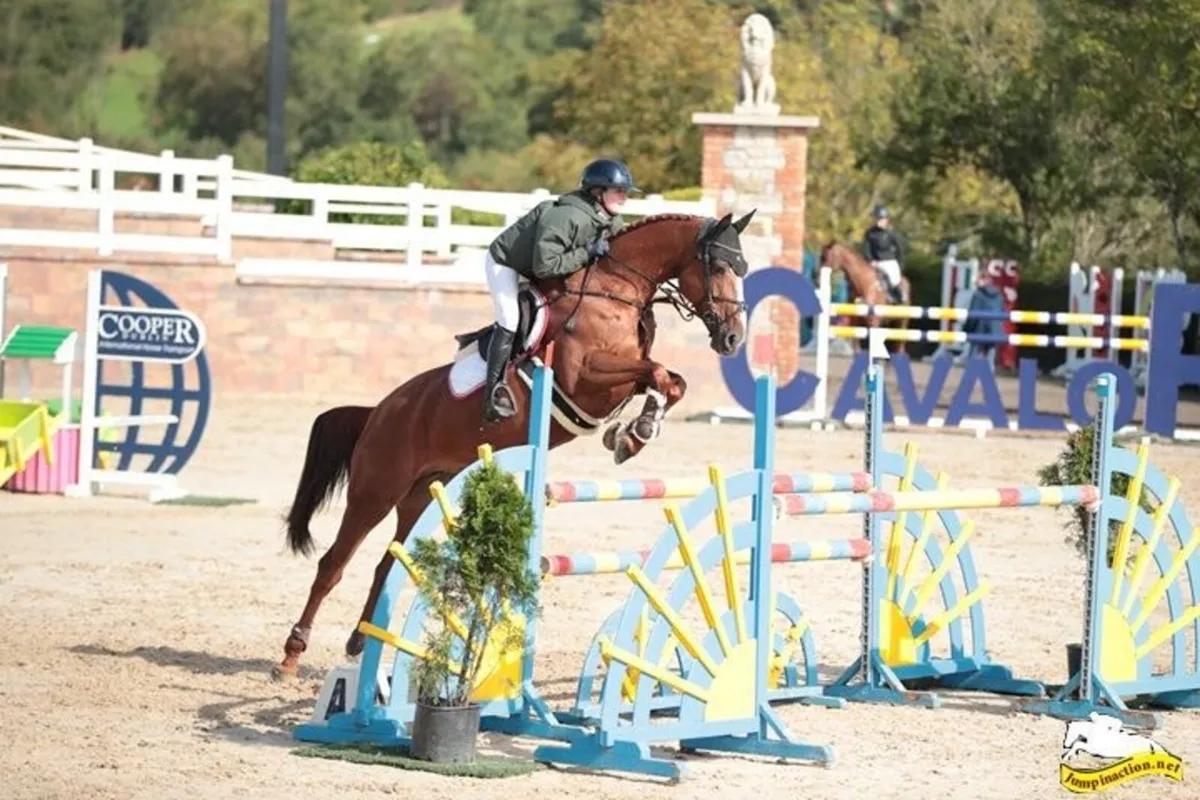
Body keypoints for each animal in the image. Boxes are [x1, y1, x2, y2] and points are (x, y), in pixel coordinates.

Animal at [271, 210, 755, 678]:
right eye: (720, 267)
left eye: (742, 269)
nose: (733, 338)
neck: (617, 290)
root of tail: (377, 412)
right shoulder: (584, 378)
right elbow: (656, 373)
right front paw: (633, 434)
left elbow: (671, 380)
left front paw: (633, 433)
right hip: (374, 493)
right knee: (333, 565)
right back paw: (291, 655)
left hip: (420, 497)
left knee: (386, 565)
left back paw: (359, 641)